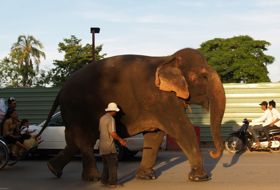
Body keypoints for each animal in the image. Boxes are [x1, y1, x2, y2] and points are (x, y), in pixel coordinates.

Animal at [38, 47, 225, 181]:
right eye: (204, 76)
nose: (212, 153)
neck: (167, 58)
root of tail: (62, 88)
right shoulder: (161, 100)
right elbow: (181, 129)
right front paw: (201, 178)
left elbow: (155, 135)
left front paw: (146, 177)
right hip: (77, 109)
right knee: (84, 140)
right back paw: (92, 178)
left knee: (75, 142)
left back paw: (52, 169)